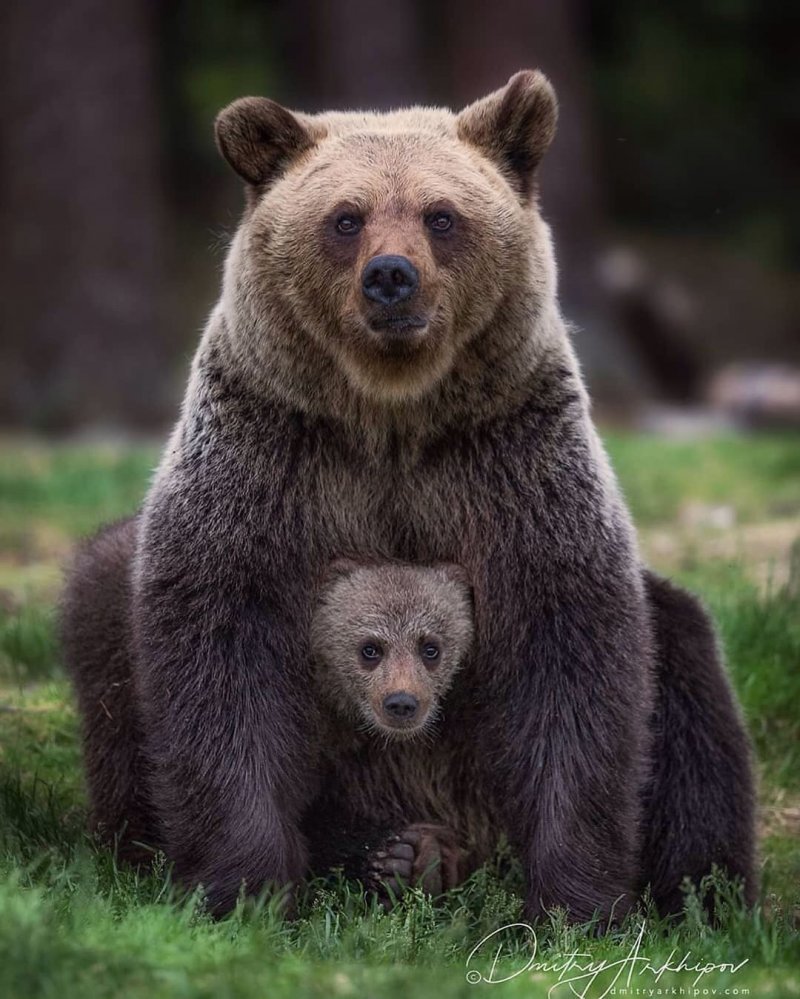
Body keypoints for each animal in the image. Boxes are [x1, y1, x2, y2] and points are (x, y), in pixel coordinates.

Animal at [64, 70, 756, 920]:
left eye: (441, 214)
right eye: (346, 216)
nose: (391, 275)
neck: (391, 415)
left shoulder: (511, 476)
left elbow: (573, 663)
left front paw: (577, 900)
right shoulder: (269, 468)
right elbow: (220, 659)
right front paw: (246, 886)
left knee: (691, 688)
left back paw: (702, 897)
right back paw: (395, 849)